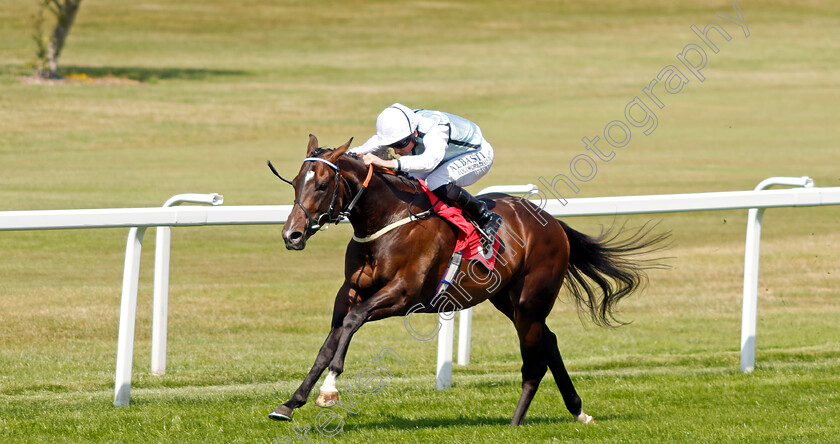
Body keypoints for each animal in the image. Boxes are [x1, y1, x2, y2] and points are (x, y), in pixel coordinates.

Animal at [266, 134, 668, 426]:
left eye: (321, 185)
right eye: (295, 184)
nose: (292, 235)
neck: (387, 221)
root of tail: (553, 223)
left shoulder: (402, 295)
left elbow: (351, 324)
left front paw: (330, 390)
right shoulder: (349, 292)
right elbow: (329, 343)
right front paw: (290, 402)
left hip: (529, 300)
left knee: (535, 359)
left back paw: (515, 423)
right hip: (506, 298)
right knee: (550, 341)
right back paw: (578, 411)